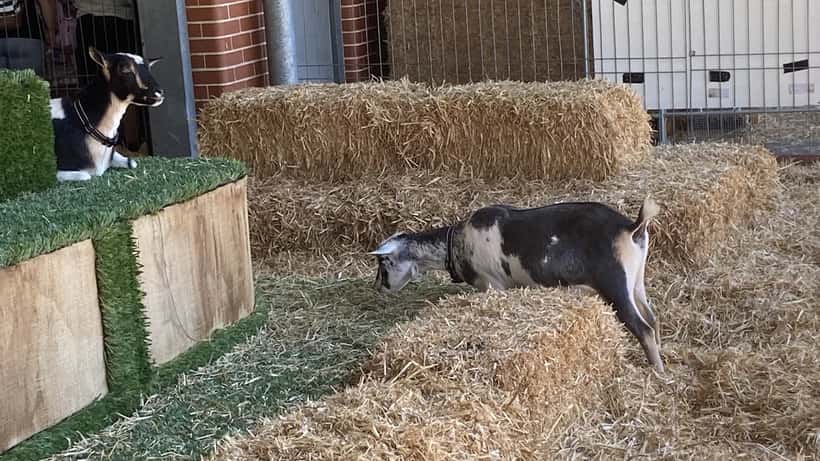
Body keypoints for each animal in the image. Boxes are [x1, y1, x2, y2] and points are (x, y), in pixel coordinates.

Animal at [369, 197, 664, 372]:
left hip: (614, 283)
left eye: (383, 265)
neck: (458, 243)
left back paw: (657, 371)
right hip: (636, 282)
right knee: (652, 318)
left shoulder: (492, 285)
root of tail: (632, 227)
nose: (377, 288)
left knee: (643, 327)